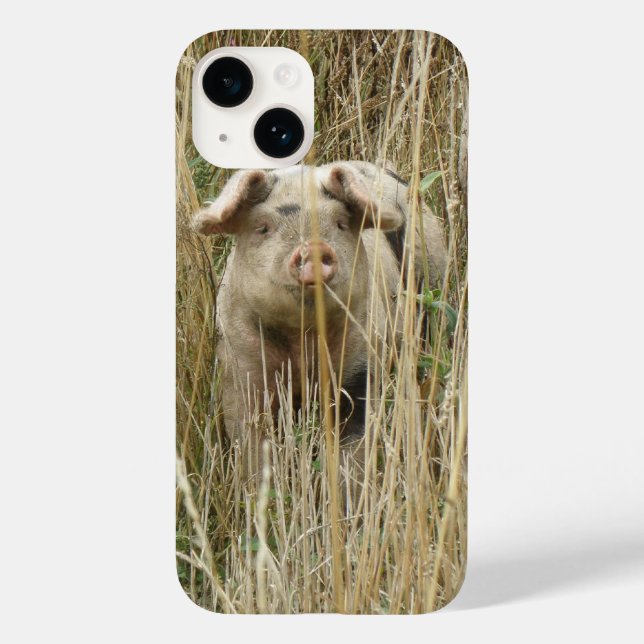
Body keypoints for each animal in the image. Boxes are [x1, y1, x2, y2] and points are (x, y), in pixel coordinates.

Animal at [192, 161, 447, 480]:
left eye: (340, 223)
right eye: (263, 227)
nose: (313, 247)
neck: (301, 341)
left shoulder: (362, 363)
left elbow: (353, 450)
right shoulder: (240, 368)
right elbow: (252, 444)